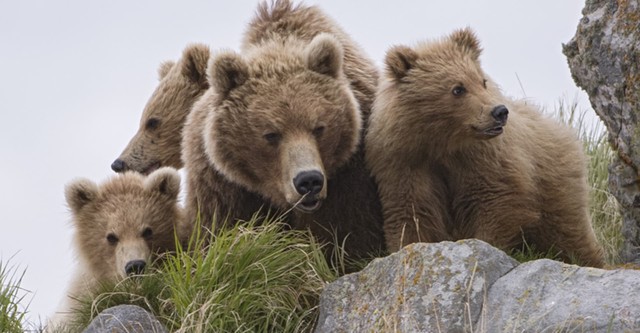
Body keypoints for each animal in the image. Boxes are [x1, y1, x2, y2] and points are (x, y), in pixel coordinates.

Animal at [184, 0, 384, 264]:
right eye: (271, 134)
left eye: (319, 127)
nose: (309, 181)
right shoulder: (223, 185)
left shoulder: (350, 177)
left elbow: (350, 236)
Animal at [364, 27, 604, 268]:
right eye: (458, 89)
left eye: (482, 81)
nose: (499, 111)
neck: (442, 142)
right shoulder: (405, 161)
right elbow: (413, 211)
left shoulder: (483, 157)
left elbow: (494, 199)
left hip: (554, 183)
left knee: (568, 231)